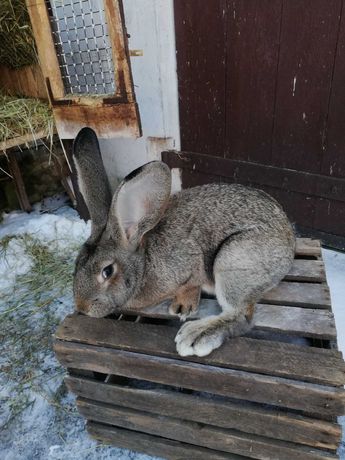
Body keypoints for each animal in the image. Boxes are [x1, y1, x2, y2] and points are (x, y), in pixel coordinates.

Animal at [72, 127, 292, 358]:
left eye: (107, 271)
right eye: (77, 263)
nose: (82, 307)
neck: (145, 263)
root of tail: (289, 238)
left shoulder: (191, 265)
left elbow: (190, 285)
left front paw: (182, 307)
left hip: (234, 260)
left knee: (241, 315)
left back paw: (196, 335)